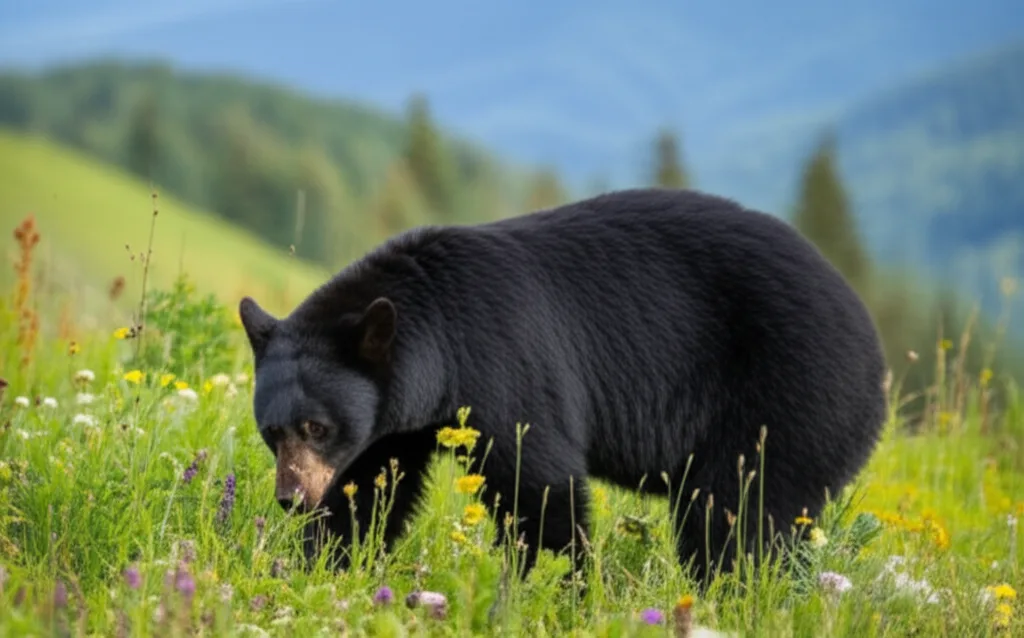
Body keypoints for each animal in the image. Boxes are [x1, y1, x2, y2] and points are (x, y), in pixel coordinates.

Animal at [238, 187, 888, 586]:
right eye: (272, 432)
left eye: (316, 426)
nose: (290, 497)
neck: (438, 341)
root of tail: (875, 356)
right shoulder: (394, 422)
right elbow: (369, 490)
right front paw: (324, 563)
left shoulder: (504, 363)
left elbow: (539, 482)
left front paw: (554, 584)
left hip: (789, 397)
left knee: (736, 517)